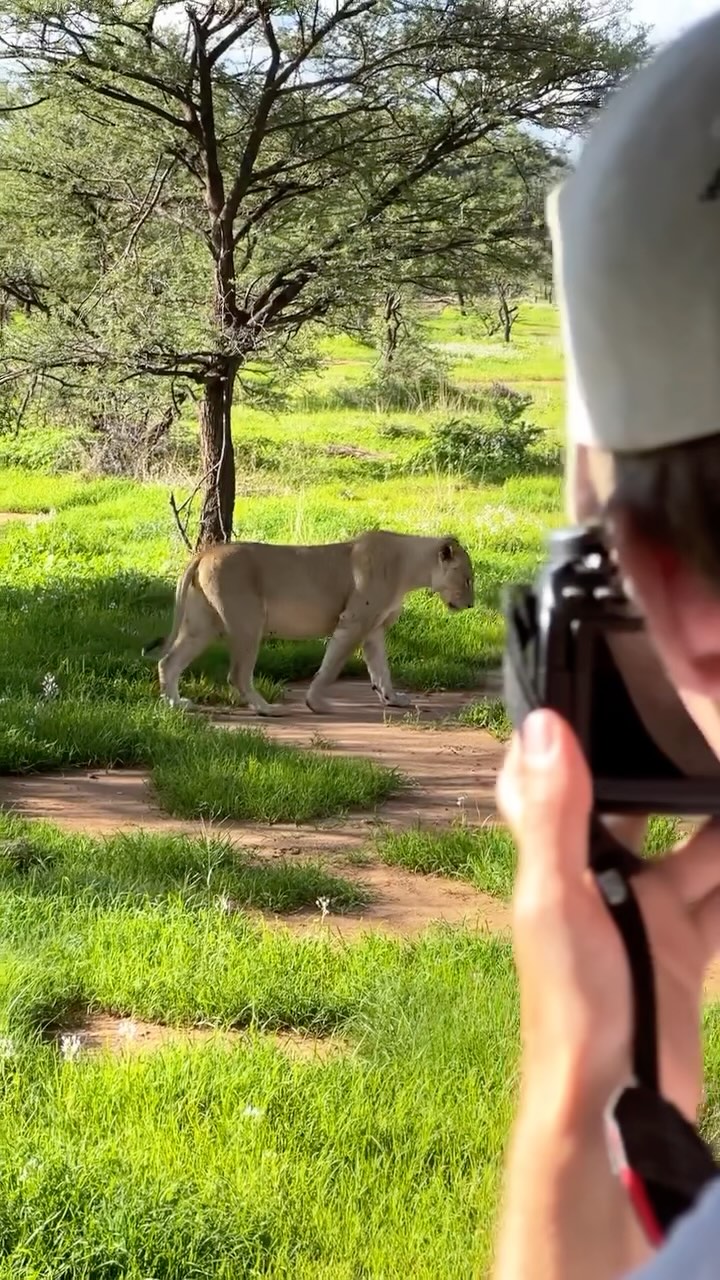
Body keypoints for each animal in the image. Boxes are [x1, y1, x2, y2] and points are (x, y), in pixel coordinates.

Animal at [142, 530, 474, 716]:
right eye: (468, 578)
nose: (471, 605)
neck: (410, 568)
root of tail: (206, 552)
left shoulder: (374, 629)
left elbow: (382, 670)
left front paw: (393, 699)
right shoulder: (353, 622)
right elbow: (331, 666)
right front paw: (316, 703)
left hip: (201, 625)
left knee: (169, 662)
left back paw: (176, 704)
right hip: (248, 621)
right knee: (237, 674)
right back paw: (266, 710)